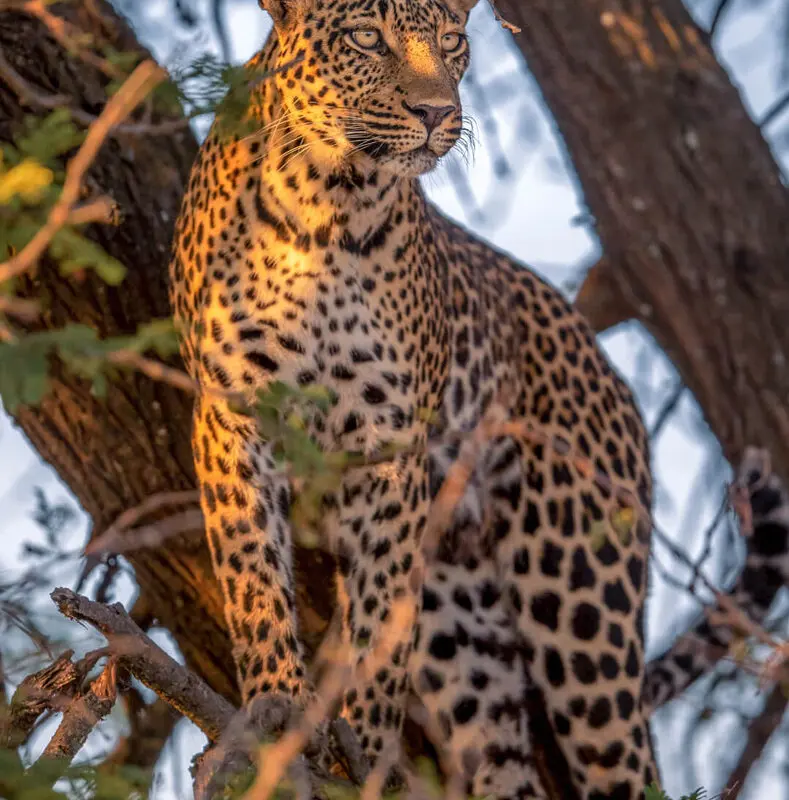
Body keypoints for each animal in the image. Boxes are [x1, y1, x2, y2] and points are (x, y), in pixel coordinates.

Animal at [169, 0, 659, 797]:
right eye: (368, 38)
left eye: (453, 42)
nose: (437, 113)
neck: (327, 203)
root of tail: (606, 371)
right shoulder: (231, 416)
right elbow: (252, 577)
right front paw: (275, 706)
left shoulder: (390, 444)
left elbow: (376, 624)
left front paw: (366, 750)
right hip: (464, 613)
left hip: (582, 604)